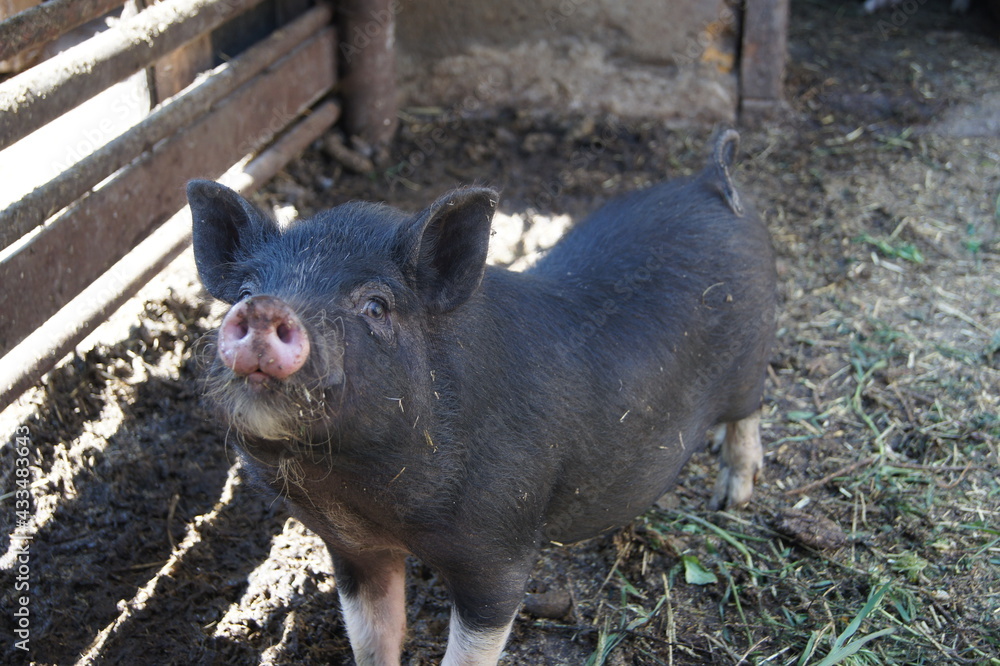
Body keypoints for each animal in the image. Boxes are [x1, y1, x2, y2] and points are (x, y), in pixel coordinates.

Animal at [186, 128, 776, 666]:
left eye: (376, 306)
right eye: (243, 291)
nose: (263, 308)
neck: (358, 494)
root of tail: (711, 183)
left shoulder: (500, 550)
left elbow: (473, 644)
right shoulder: (353, 550)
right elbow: (373, 635)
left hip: (752, 359)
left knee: (750, 413)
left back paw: (731, 498)